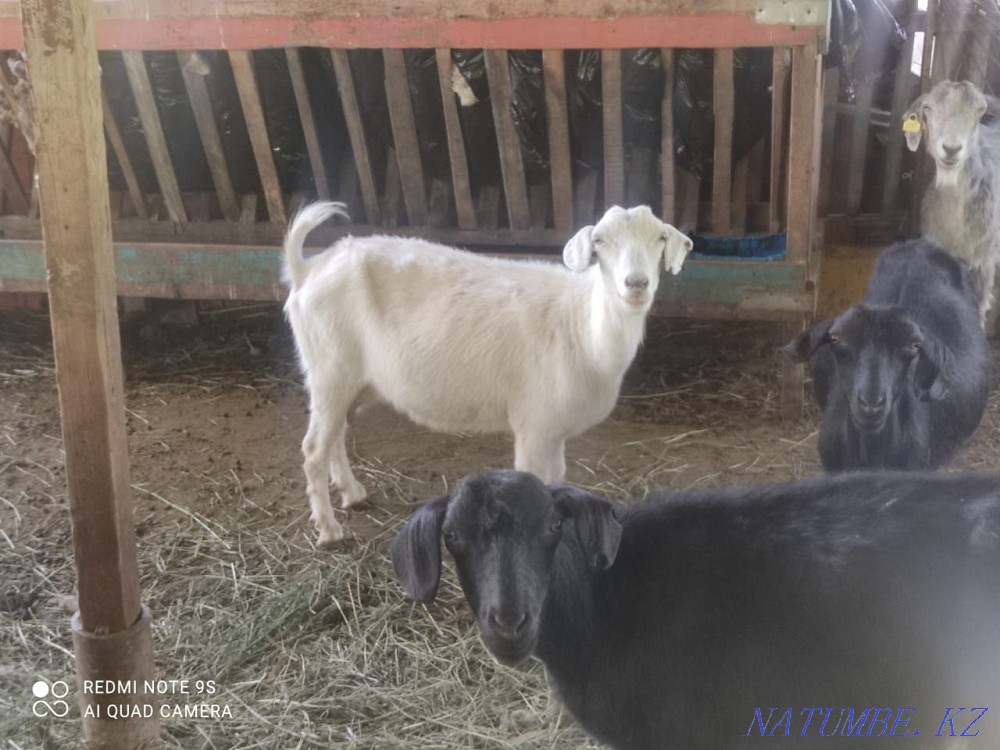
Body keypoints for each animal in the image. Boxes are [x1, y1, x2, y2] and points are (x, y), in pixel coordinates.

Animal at [283, 202, 692, 544]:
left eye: (660, 237)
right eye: (600, 241)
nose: (636, 284)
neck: (582, 324)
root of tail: (308, 270)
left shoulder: (554, 429)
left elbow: (557, 479)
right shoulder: (534, 425)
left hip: (348, 380)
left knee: (335, 436)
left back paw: (352, 494)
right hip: (329, 368)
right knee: (313, 448)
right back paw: (329, 529)